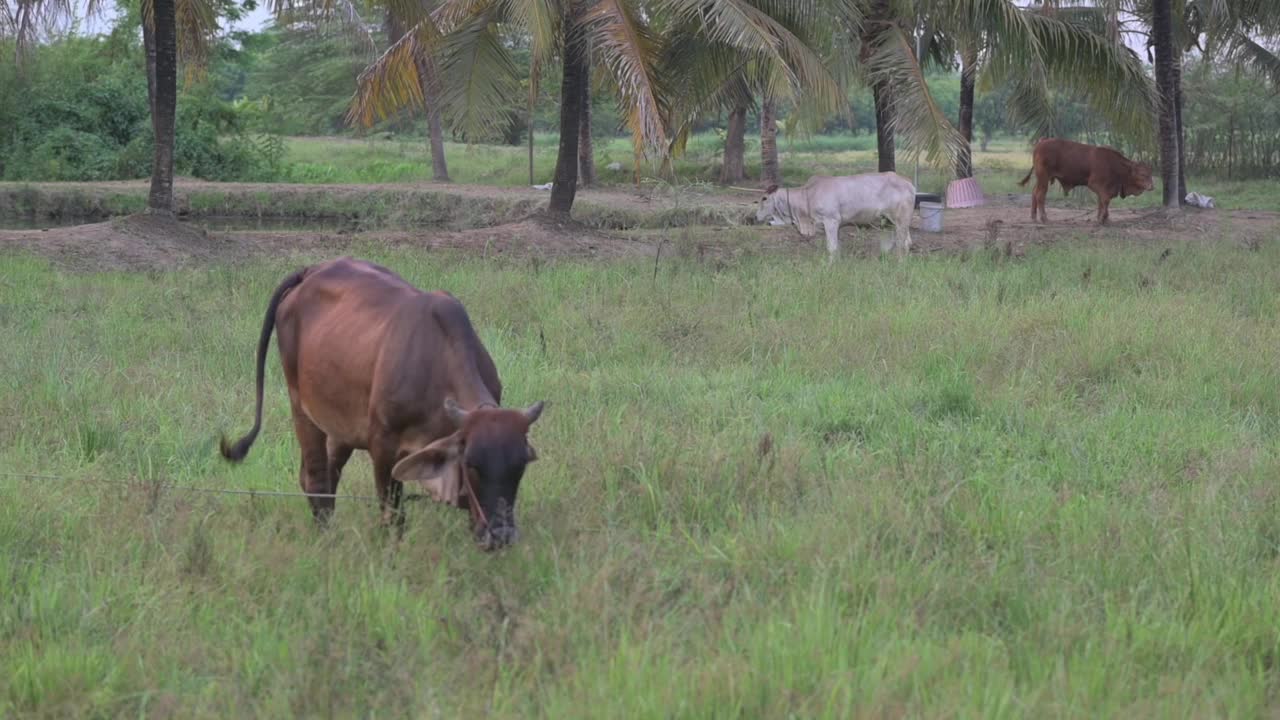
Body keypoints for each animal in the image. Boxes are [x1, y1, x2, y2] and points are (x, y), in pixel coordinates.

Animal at [220, 257, 545, 548]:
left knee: (326, 475)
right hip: (301, 407)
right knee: (315, 479)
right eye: (472, 464)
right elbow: (393, 516)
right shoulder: (383, 446)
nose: (501, 536)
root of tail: (310, 270)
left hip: (342, 425)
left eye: (519, 465)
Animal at [752, 170, 916, 260]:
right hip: (892, 222)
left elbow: (832, 248)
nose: (755, 217)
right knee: (904, 243)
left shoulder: (831, 221)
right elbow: (836, 247)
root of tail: (908, 182)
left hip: (900, 219)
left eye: (764, 198)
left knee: (903, 243)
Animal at [1024, 135, 1157, 222]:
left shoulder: (1103, 187)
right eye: (1142, 174)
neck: (1114, 166)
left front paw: (1102, 217)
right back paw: (1043, 218)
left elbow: (1101, 201)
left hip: (1041, 179)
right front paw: (1103, 218)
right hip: (1043, 177)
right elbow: (1105, 200)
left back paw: (1033, 217)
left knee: (1034, 192)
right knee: (1040, 195)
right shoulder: (1095, 184)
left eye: (1150, 173)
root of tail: (1042, 141)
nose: (1152, 186)